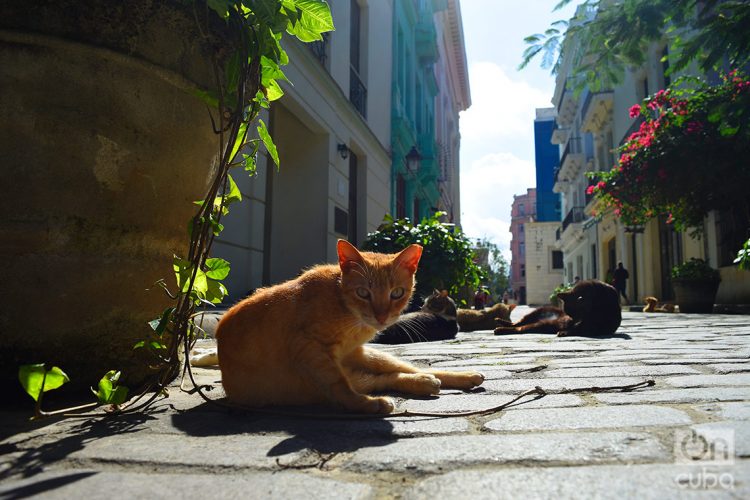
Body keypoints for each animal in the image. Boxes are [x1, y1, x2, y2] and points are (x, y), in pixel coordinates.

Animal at [217, 239, 488, 414]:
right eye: (363, 293)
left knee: (402, 370)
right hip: (337, 377)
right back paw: (419, 385)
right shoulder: (310, 350)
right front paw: (367, 405)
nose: (382, 317)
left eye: (397, 293)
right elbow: (341, 389)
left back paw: (460, 377)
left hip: (372, 357)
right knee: (383, 379)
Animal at [494, 280, 624, 338]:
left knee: (519, 328)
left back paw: (500, 329)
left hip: (541, 323)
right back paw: (499, 323)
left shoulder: (594, 326)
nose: (569, 321)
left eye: (574, 313)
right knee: (517, 324)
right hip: (535, 314)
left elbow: (580, 328)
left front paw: (565, 331)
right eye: (569, 313)